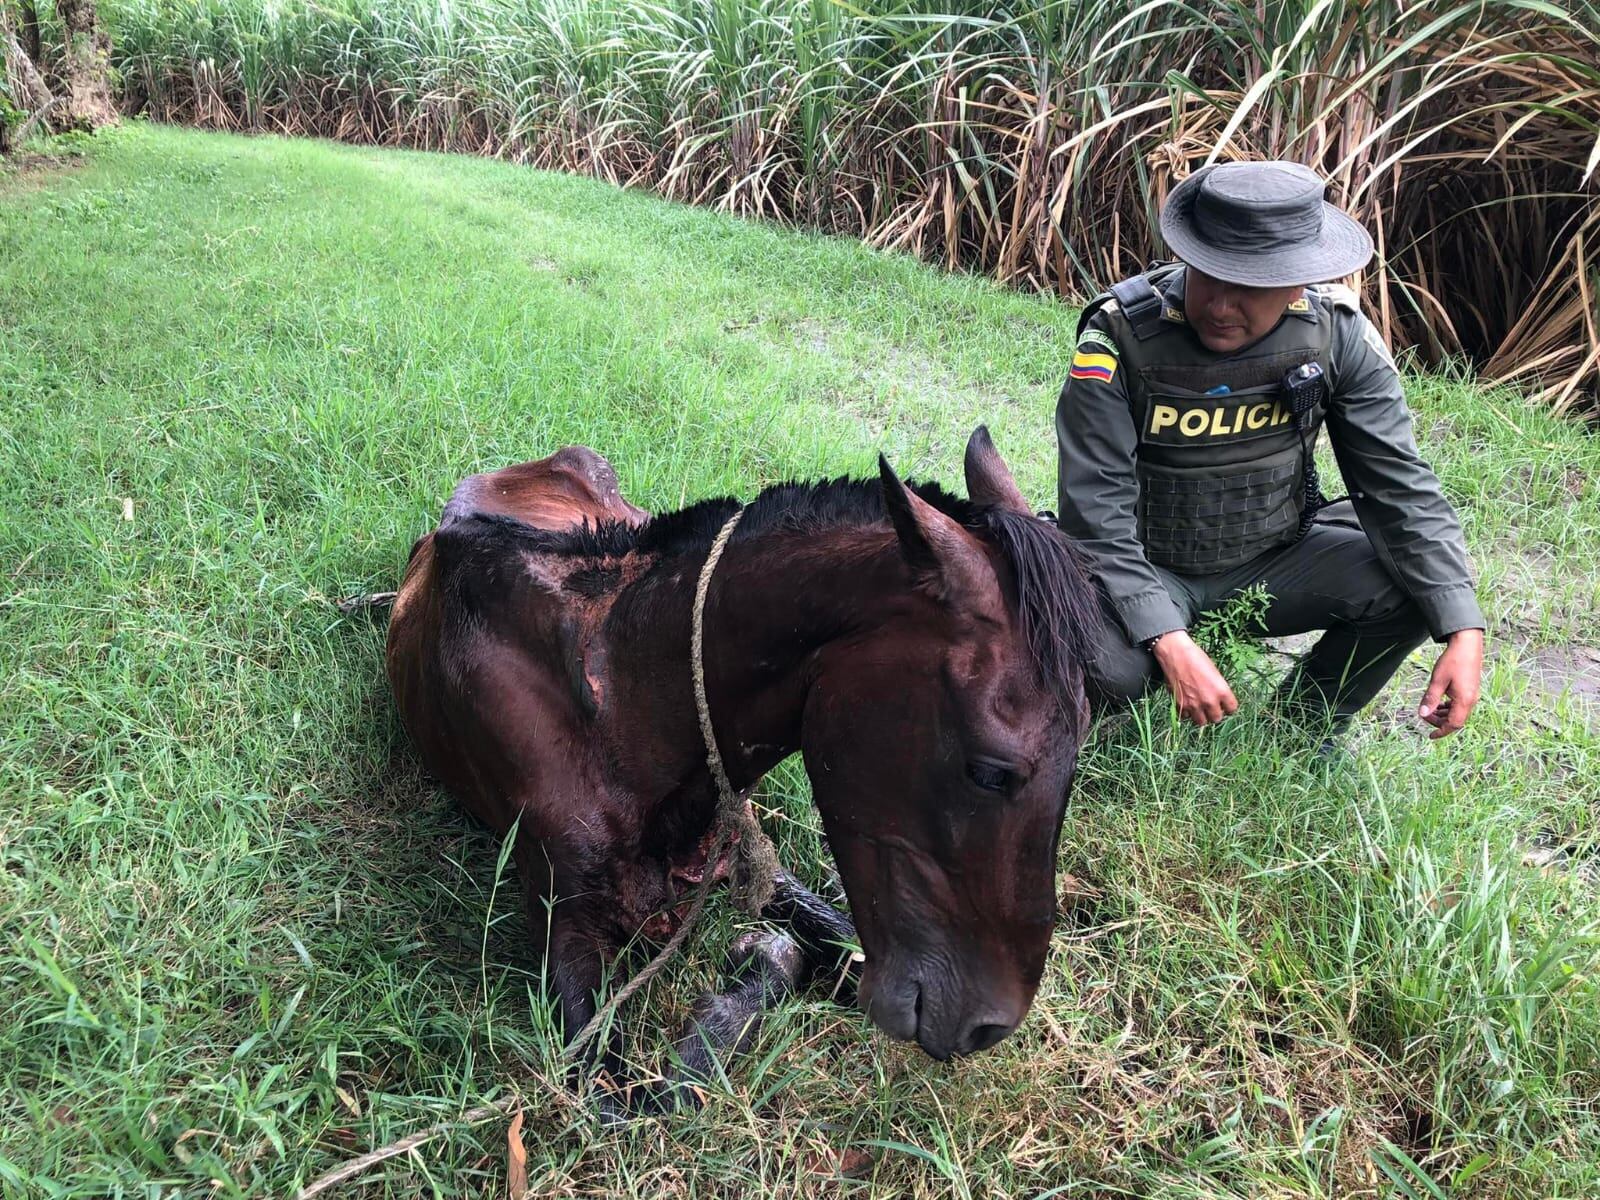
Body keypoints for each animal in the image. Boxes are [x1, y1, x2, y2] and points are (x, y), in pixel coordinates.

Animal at [384, 427, 1100, 1103]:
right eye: (991, 770)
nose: (986, 1024)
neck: (615, 708)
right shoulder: (567, 930)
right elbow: (648, 1097)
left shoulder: (750, 863)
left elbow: (831, 943)